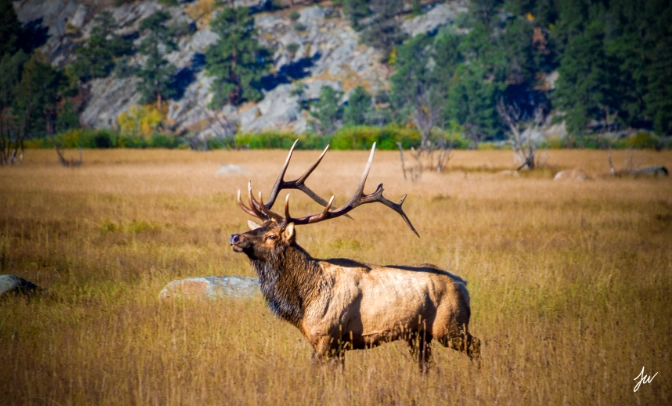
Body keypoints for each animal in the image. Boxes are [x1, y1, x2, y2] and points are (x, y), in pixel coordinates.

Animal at [229, 141, 480, 370]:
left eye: (271, 236)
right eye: (258, 228)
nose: (235, 237)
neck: (303, 303)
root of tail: (464, 285)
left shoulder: (327, 336)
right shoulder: (336, 345)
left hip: (450, 326)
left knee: (476, 345)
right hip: (419, 335)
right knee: (427, 364)